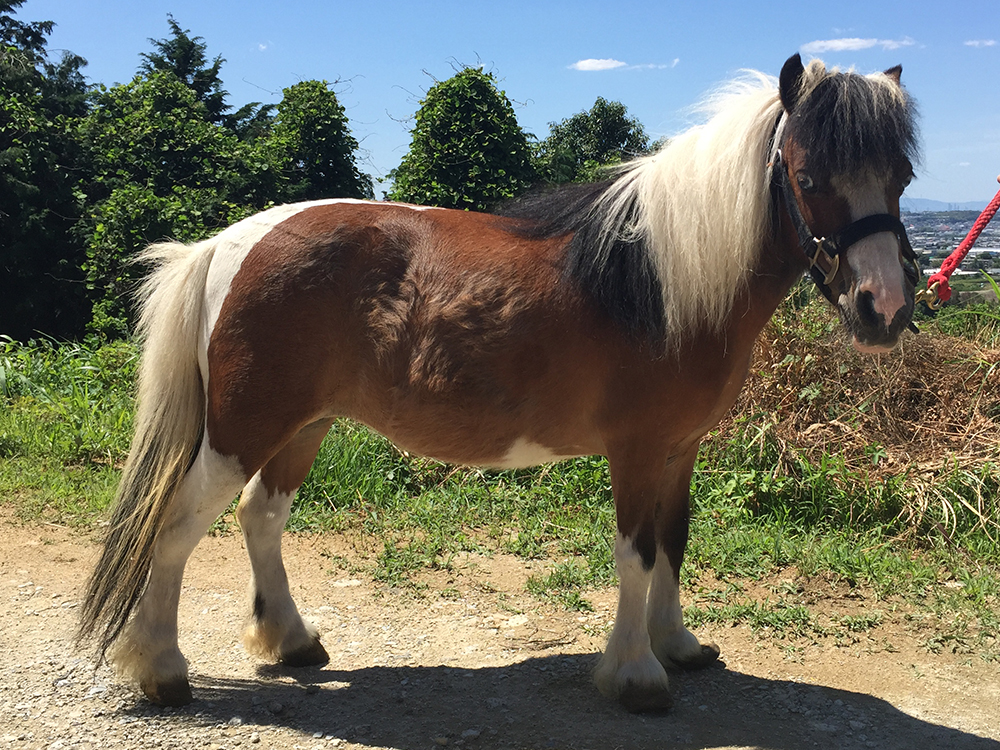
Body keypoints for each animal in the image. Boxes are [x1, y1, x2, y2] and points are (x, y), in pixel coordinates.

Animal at [78, 55, 920, 712]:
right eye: (808, 175)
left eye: (903, 176)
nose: (883, 308)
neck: (661, 280)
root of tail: (226, 243)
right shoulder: (637, 451)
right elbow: (637, 554)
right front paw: (636, 674)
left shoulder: (680, 451)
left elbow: (674, 543)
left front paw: (677, 645)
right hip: (243, 427)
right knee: (174, 525)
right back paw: (162, 670)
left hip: (302, 424)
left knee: (261, 516)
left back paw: (292, 640)